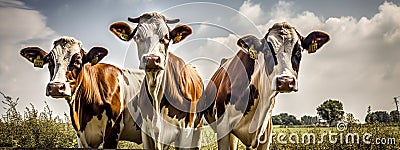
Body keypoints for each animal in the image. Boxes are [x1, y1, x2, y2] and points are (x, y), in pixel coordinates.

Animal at [108, 12, 203, 149]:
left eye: (166, 37)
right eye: (137, 36)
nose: (152, 59)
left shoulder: (186, 129)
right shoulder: (147, 131)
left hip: (197, 128)